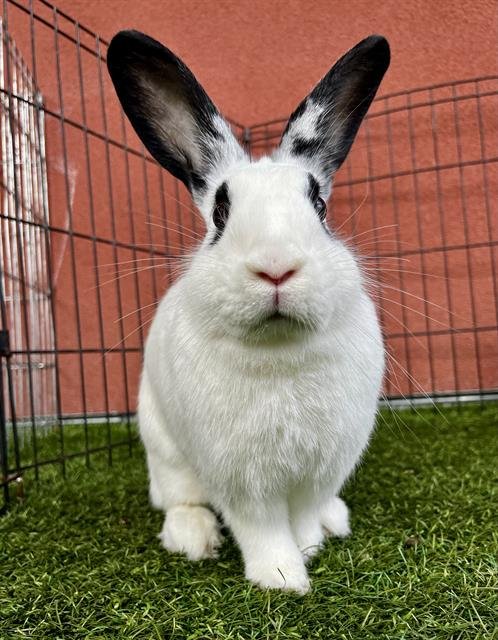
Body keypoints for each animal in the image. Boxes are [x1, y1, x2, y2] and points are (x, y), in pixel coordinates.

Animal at [107, 30, 389, 594]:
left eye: (320, 207)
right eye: (220, 211)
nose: (276, 267)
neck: (279, 350)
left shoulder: (322, 467)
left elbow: (304, 515)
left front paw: (311, 547)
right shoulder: (241, 479)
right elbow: (262, 530)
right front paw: (282, 579)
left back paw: (335, 519)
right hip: (165, 454)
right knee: (178, 500)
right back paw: (194, 537)